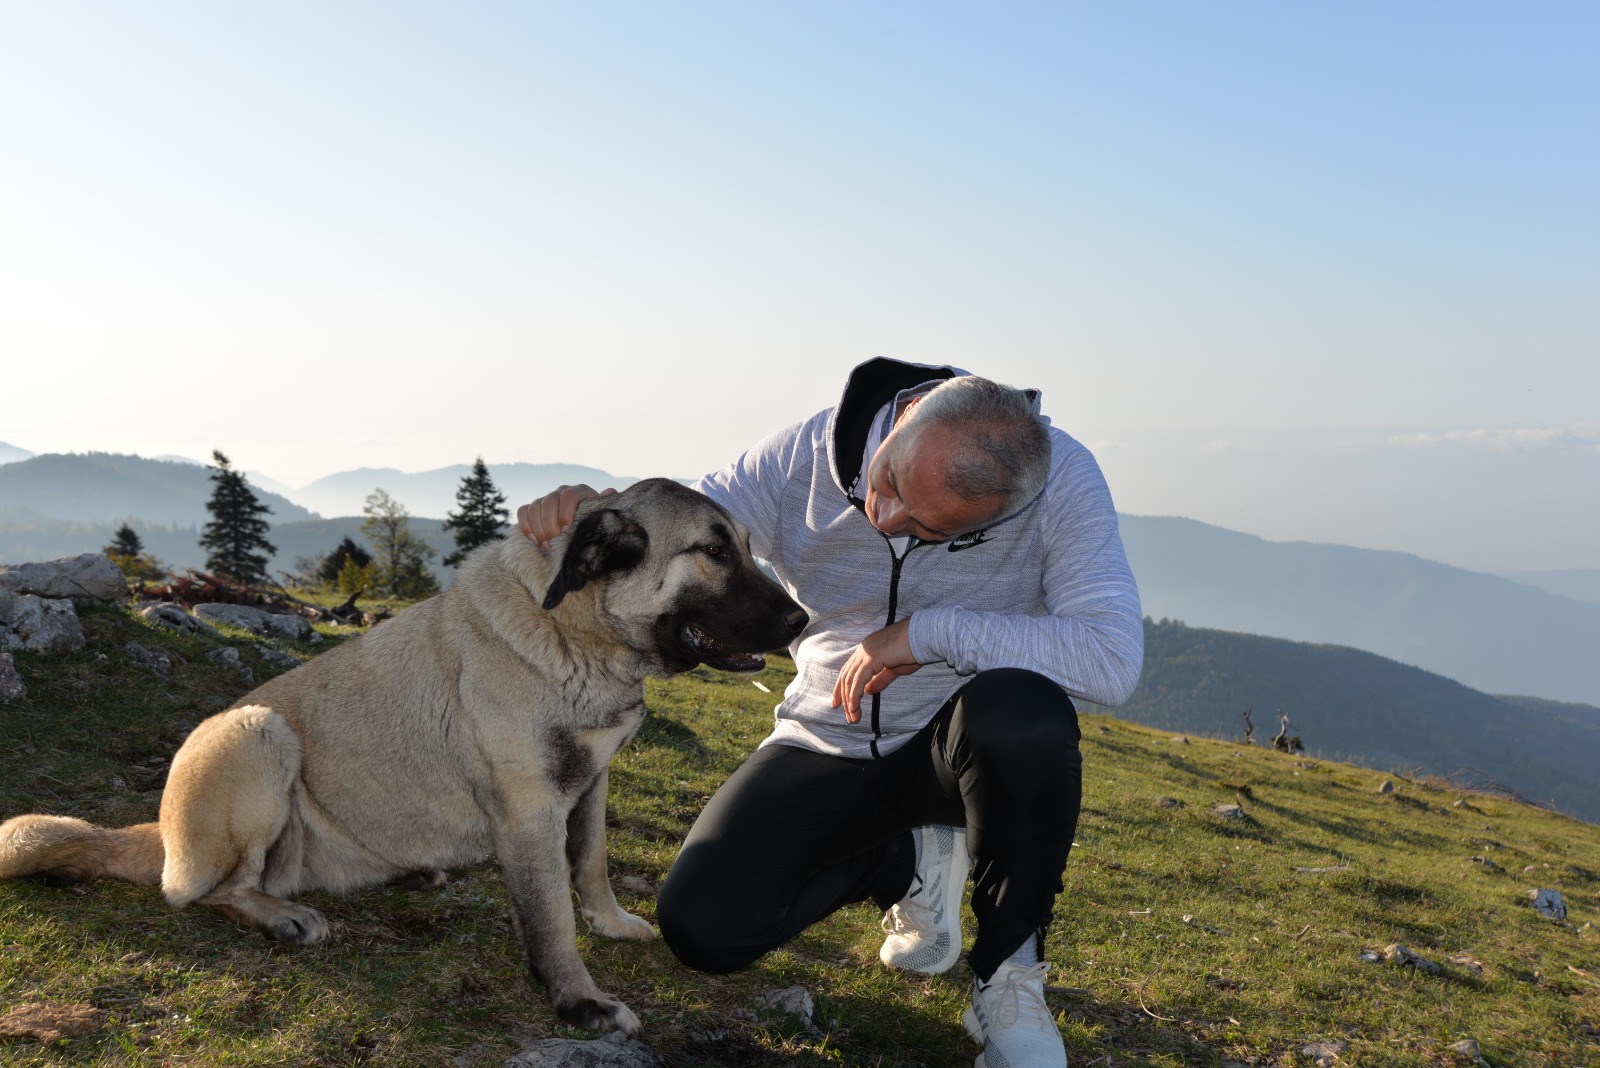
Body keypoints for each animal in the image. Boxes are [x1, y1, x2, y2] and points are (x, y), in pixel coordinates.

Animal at [0, 482, 800, 1036]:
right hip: (259, 733)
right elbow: (551, 920)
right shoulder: (531, 810)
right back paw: (281, 917)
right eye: (714, 552)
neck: (577, 631)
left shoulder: (591, 782)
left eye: (747, 545)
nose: (800, 618)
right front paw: (581, 1002)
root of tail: (164, 836)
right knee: (208, 890)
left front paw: (610, 923)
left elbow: (592, 865)